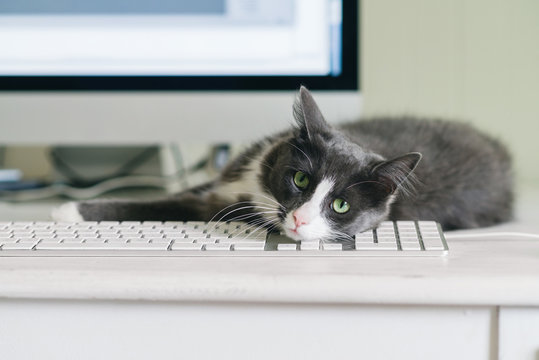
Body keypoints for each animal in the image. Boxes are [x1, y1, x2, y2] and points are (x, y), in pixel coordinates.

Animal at [53, 86, 516, 240]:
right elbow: (179, 194)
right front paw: (67, 209)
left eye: (341, 205)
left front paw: (67, 211)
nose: (299, 219)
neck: (256, 187)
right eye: (300, 179)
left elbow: (171, 206)